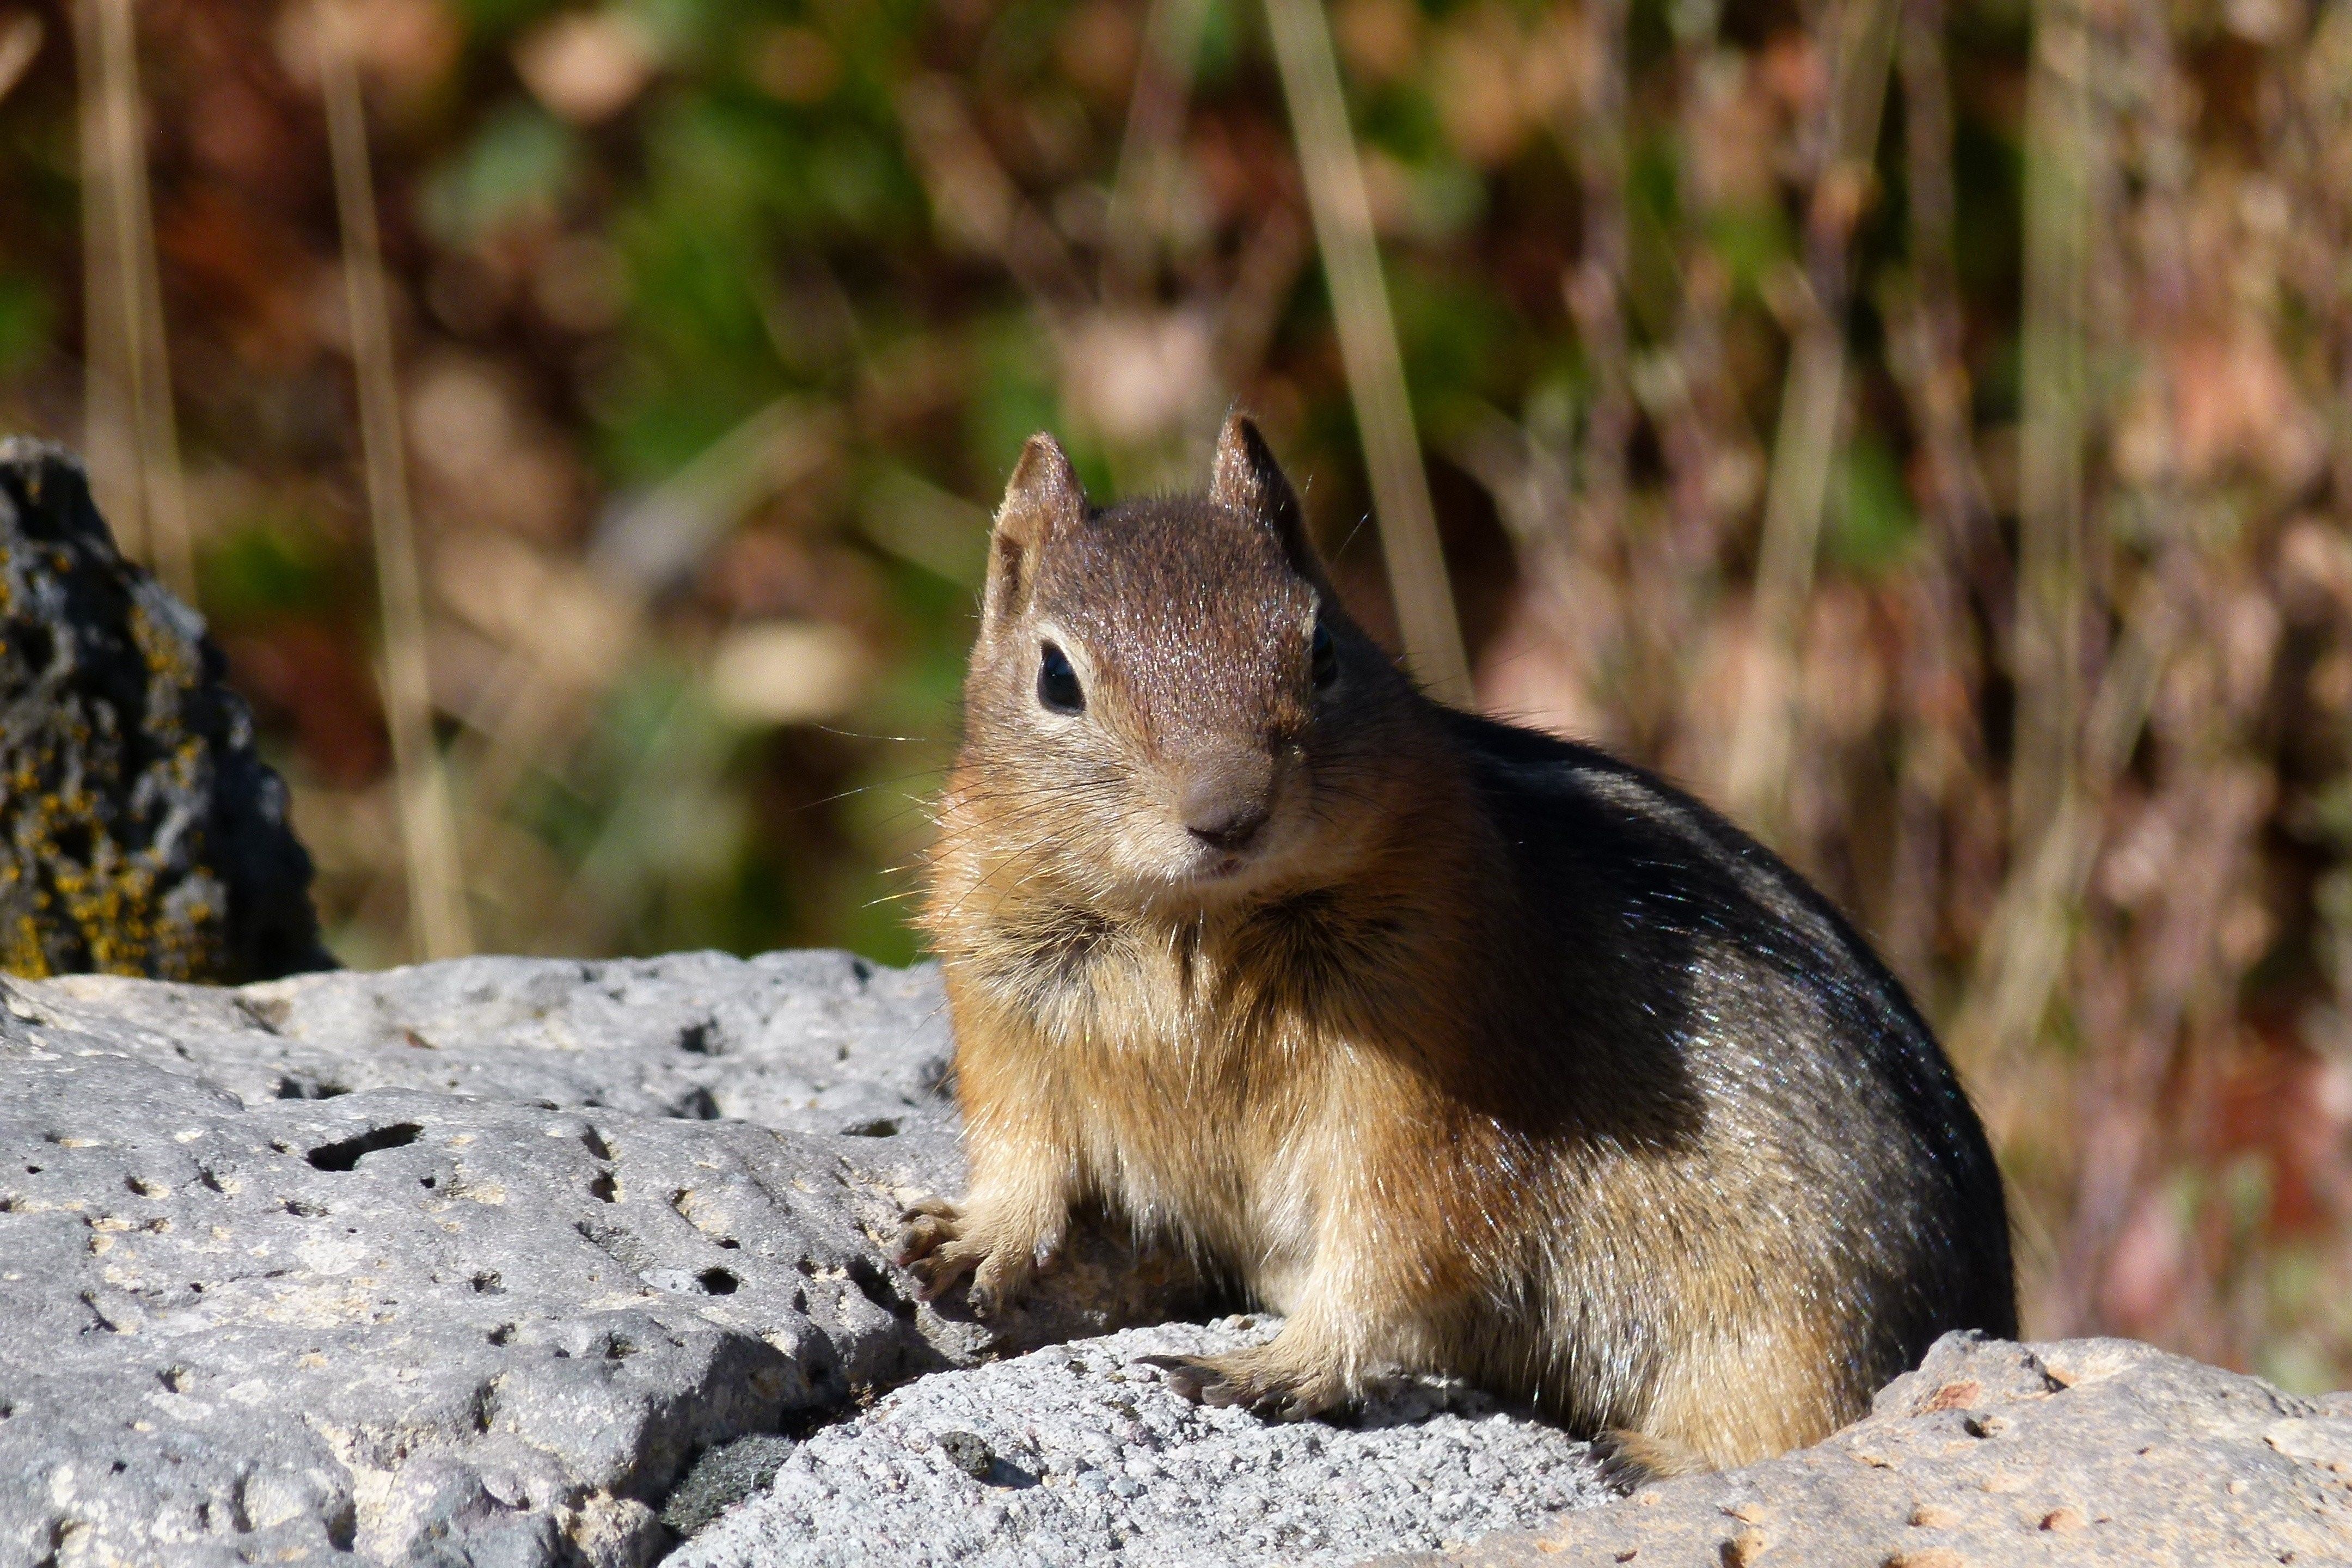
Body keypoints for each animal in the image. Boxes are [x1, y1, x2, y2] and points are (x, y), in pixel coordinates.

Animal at [903, 413, 2023, 1476]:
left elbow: (1393, 1244)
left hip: (1798, 1323)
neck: (1192, 927)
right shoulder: (1002, 1012)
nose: (1229, 814)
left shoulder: (1434, 1093)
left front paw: (1281, 1363)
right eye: (1056, 678)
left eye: (1322, 649)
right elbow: (1022, 1149)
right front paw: (971, 1233)